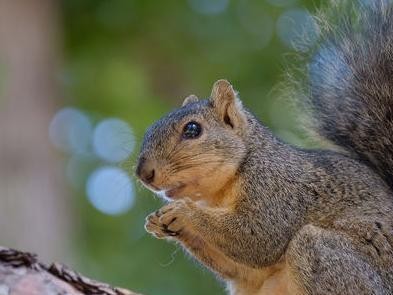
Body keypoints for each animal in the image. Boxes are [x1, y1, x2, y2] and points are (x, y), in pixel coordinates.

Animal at [135, 1, 392, 294]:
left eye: (192, 129)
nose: (144, 173)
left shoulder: (277, 190)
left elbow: (257, 236)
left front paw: (184, 212)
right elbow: (242, 268)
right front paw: (160, 222)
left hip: (329, 259)